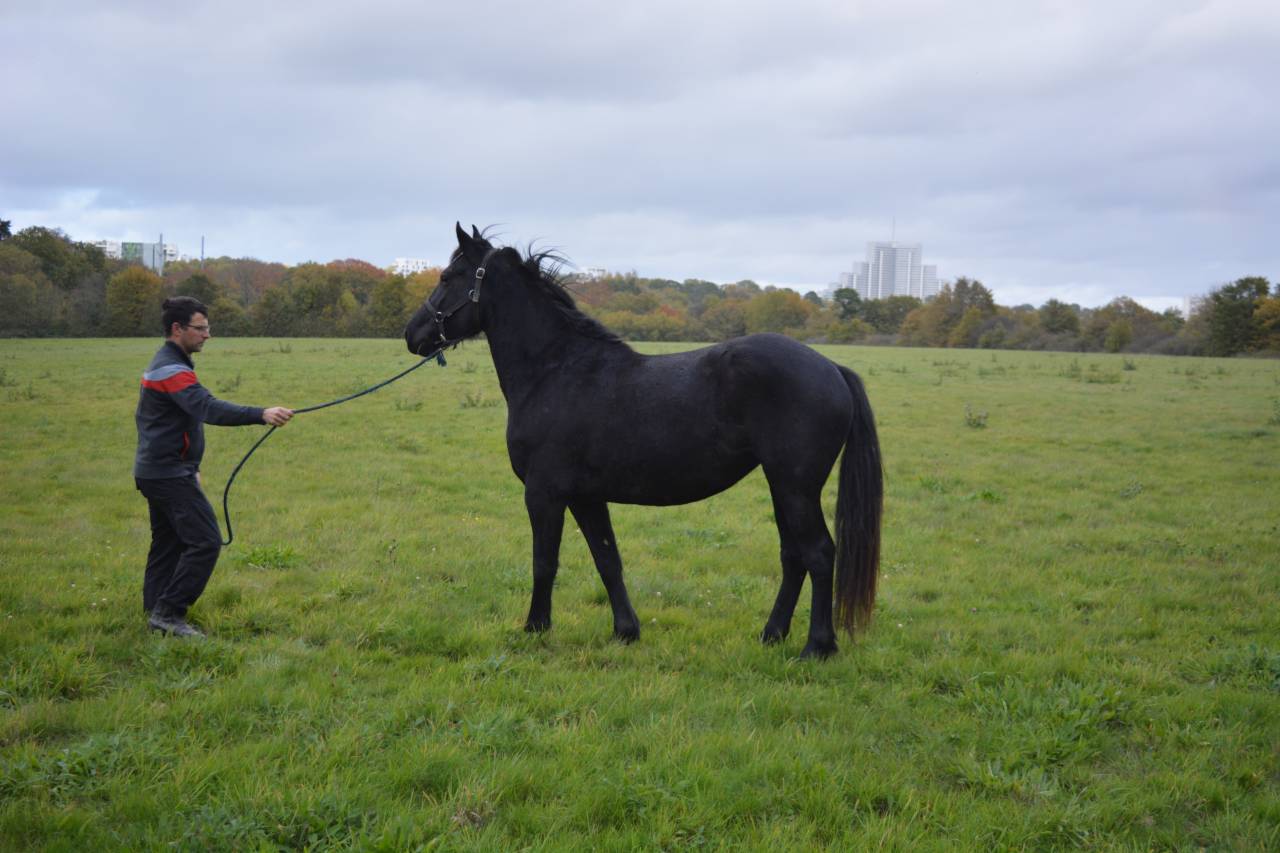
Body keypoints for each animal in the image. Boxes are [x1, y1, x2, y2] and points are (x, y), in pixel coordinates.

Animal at [405, 224, 883, 658]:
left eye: (447, 277)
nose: (413, 334)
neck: (556, 370)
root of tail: (832, 368)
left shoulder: (544, 494)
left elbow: (544, 562)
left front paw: (535, 629)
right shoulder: (586, 496)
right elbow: (607, 560)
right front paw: (625, 631)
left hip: (796, 487)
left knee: (818, 554)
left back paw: (817, 646)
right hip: (782, 486)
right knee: (793, 555)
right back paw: (772, 634)